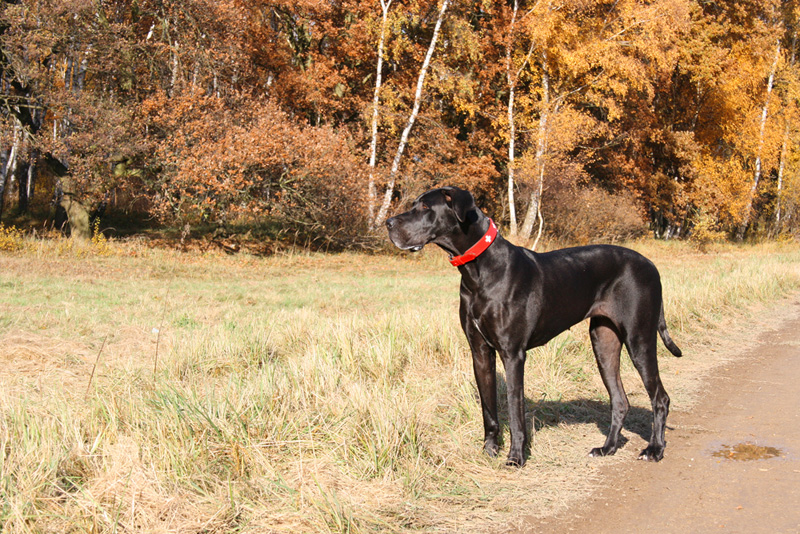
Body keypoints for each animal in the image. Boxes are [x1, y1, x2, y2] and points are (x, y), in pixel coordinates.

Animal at [388, 187, 680, 468]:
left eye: (425, 207)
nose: (388, 223)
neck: (478, 270)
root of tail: (652, 265)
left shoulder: (513, 354)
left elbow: (515, 410)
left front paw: (516, 457)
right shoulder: (480, 352)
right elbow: (489, 410)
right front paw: (489, 450)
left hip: (639, 338)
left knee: (660, 398)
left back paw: (654, 449)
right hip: (603, 342)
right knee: (620, 401)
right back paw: (607, 448)